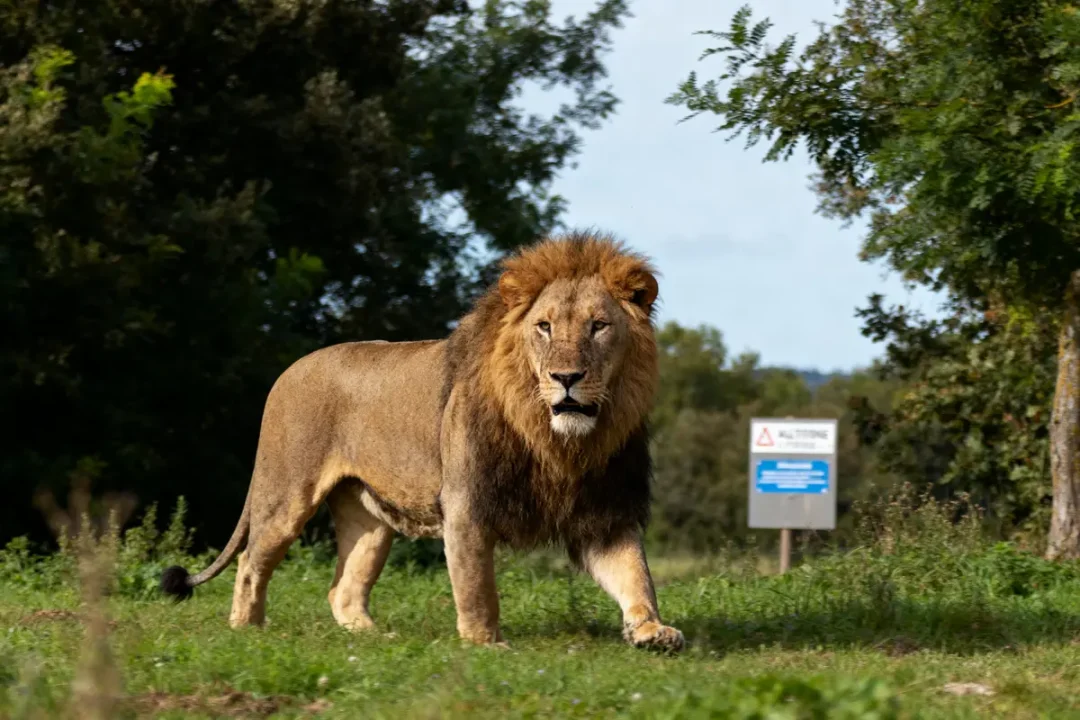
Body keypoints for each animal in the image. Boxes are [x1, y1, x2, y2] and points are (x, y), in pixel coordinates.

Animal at [161, 230, 684, 652]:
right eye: (545, 326)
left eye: (599, 326)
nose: (567, 378)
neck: (562, 443)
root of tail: (288, 372)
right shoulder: (467, 503)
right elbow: (477, 586)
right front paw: (486, 645)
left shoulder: (605, 512)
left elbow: (636, 576)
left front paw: (653, 631)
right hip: (286, 493)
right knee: (250, 562)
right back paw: (247, 632)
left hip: (368, 519)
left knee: (342, 588)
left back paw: (375, 639)